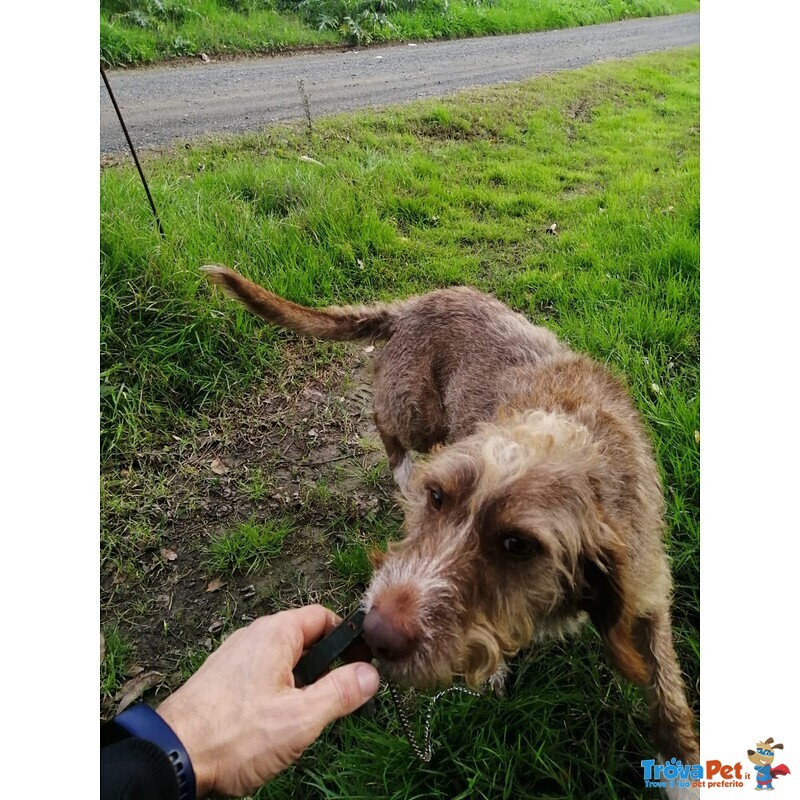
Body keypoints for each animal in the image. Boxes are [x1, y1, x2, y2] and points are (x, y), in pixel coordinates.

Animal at [203, 266, 696, 772]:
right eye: (437, 497)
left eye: (517, 545)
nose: (376, 631)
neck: (566, 432)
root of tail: (412, 305)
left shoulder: (646, 587)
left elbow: (667, 690)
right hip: (418, 413)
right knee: (383, 419)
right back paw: (403, 474)